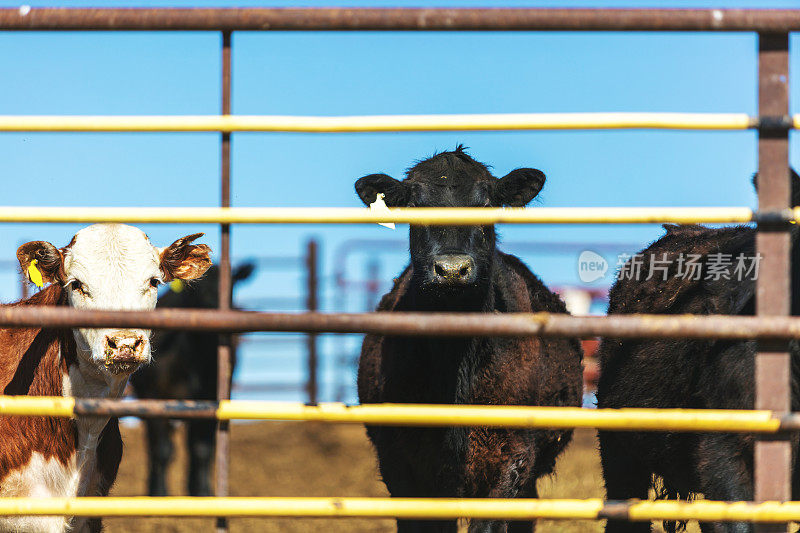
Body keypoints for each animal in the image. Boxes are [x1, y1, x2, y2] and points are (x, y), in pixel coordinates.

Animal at [131, 262, 255, 494]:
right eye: (197, 289)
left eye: (231, 285)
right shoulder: (155, 396)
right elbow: (162, 450)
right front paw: (159, 494)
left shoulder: (210, 397)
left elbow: (201, 449)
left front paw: (202, 493)